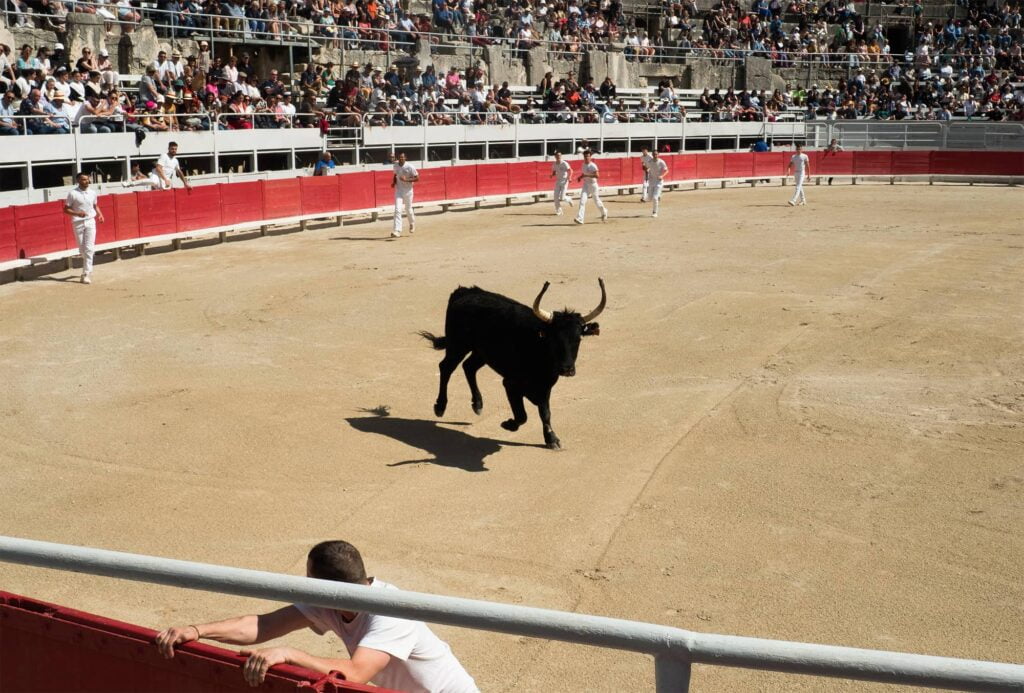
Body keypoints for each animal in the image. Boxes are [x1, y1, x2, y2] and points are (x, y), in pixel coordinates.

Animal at [419, 280, 602, 448]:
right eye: (554, 339)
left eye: (578, 339)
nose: (567, 369)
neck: (538, 348)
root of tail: (465, 291)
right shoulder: (510, 383)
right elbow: (522, 415)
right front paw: (509, 424)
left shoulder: (545, 387)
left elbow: (545, 413)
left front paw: (551, 439)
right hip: (458, 345)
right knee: (446, 368)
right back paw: (440, 406)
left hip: (481, 352)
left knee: (469, 367)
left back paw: (477, 404)